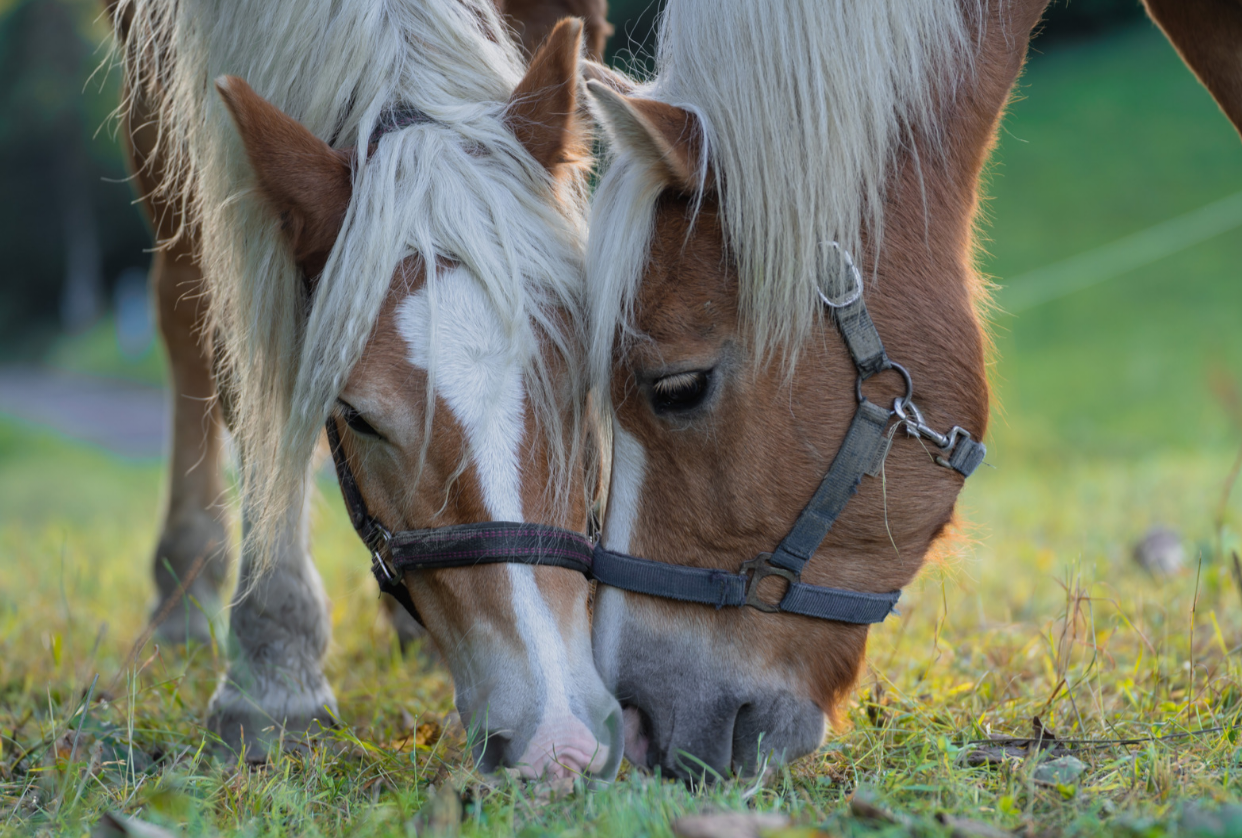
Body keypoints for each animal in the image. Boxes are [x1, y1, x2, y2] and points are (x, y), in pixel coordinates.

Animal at [109, 1, 621, 784]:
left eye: (580, 385)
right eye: (356, 418)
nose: (557, 742)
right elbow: (250, 362)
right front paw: (274, 671)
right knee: (183, 296)